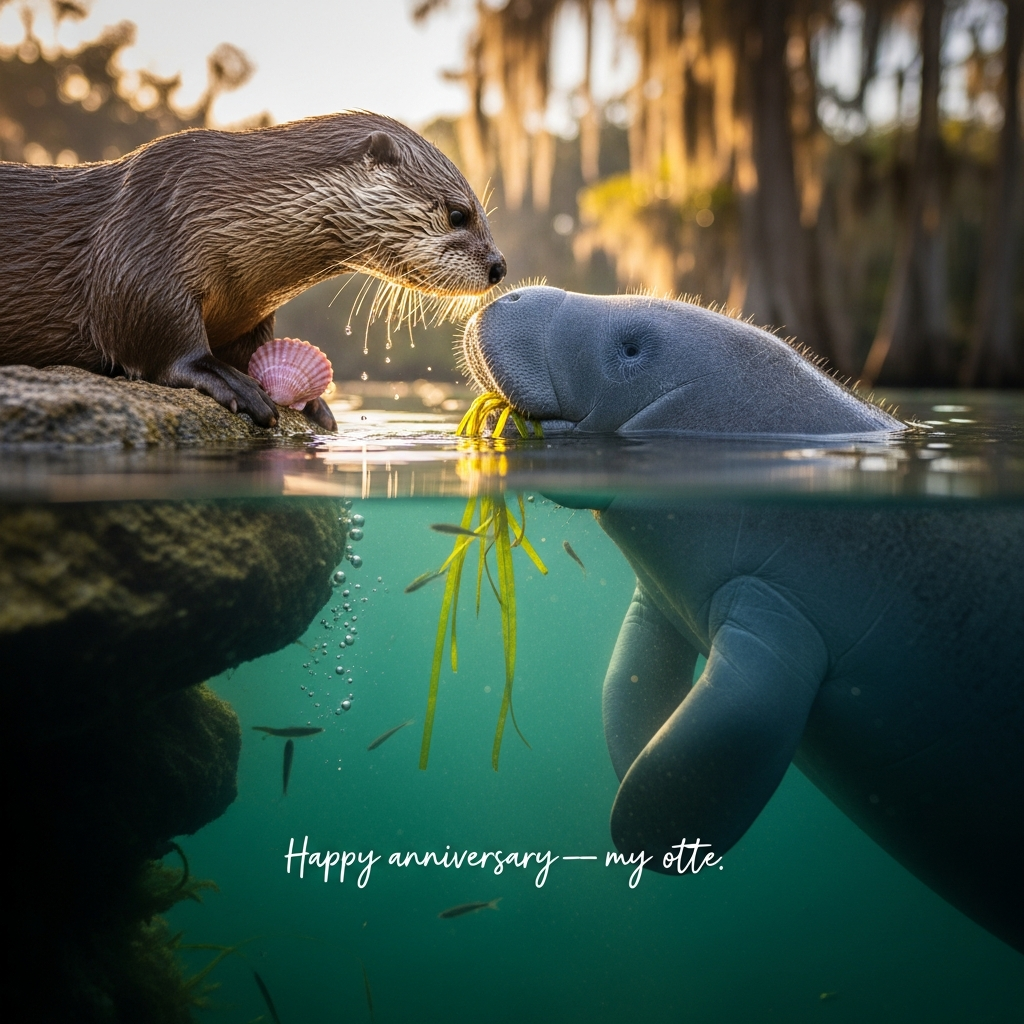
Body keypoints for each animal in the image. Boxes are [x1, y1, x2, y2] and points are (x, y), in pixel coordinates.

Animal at [0, 112, 506, 430]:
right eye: (459, 214)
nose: (500, 266)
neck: (215, 208)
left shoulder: (251, 309)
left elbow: (253, 348)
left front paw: (314, 403)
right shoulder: (142, 245)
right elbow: (161, 344)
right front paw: (232, 383)